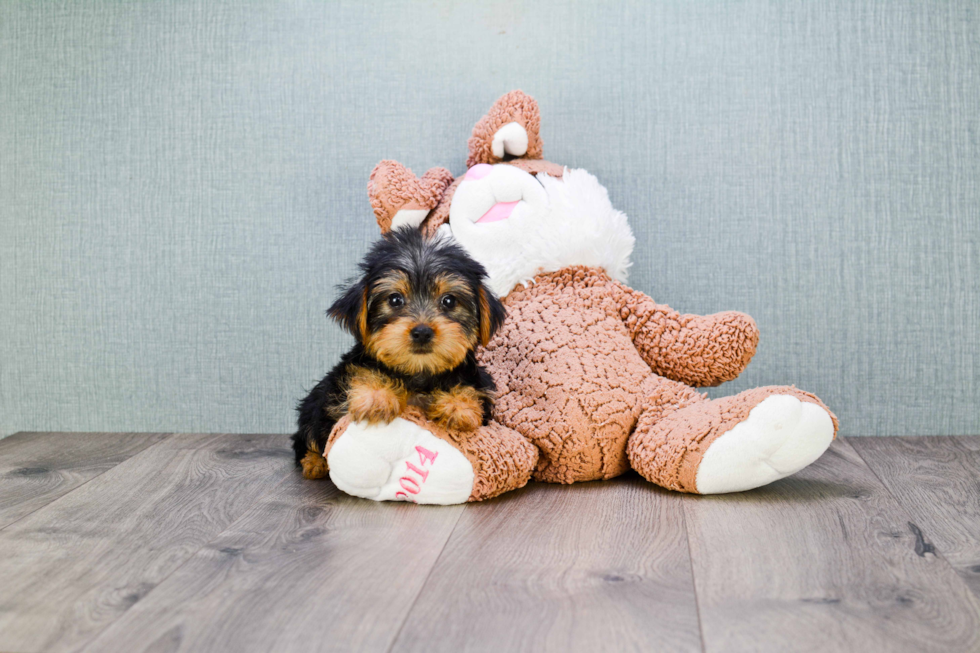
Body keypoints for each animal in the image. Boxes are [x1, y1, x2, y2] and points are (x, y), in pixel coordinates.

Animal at [290, 228, 506, 478]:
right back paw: (314, 462)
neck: (418, 372)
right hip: (314, 405)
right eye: (395, 299)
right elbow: (363, 372)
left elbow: (470, 386)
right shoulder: (345, 378)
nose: (422, 332)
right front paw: (377, 396)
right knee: (306, 436)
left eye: (449, 301)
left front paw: (458, 405)